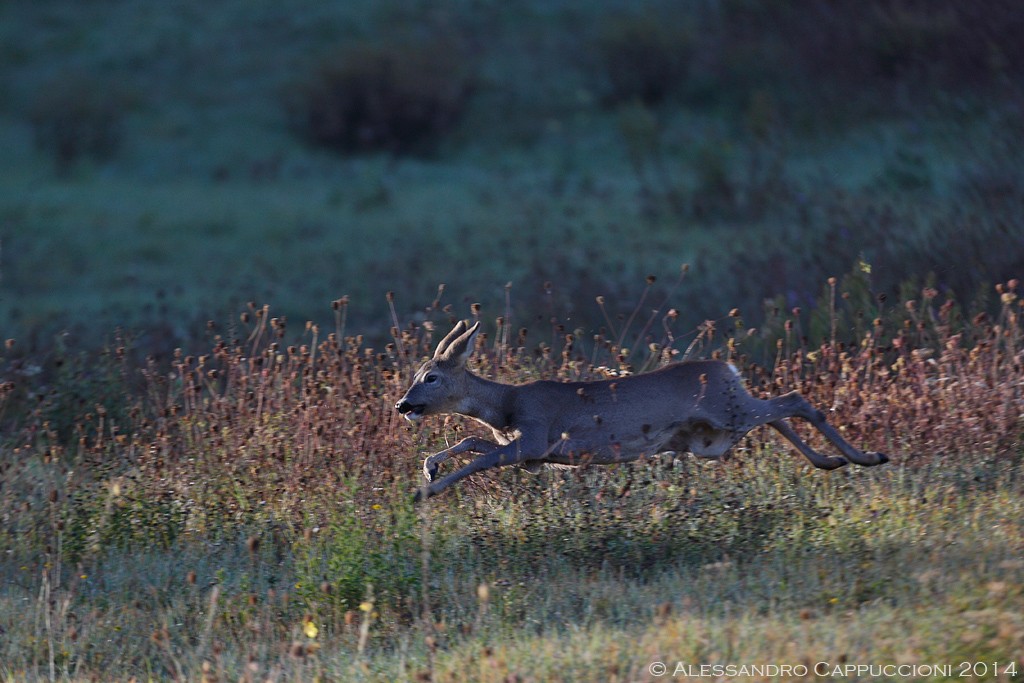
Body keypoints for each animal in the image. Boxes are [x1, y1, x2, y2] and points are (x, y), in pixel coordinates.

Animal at [395, 321, 892, 501]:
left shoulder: (536, 437)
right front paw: (429, 468)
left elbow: (480, 458)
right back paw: (834, 461)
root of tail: (728, 367)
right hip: (712, 436)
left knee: (794, 400)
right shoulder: (534, 454)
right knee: (780, 413)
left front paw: (425, 491)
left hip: (725, 409)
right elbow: (470, 440)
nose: (403, 405)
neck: (506, 407)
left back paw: (869, 456)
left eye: (431, 376)